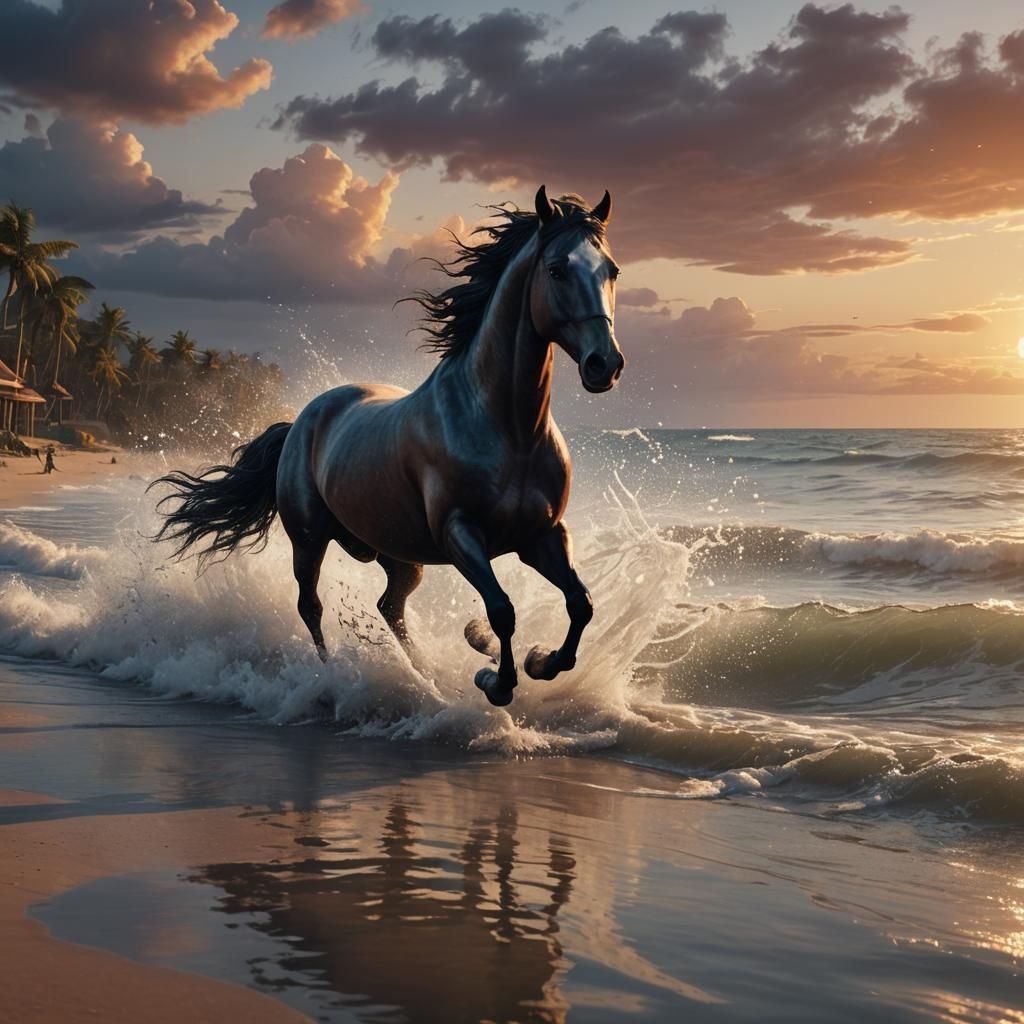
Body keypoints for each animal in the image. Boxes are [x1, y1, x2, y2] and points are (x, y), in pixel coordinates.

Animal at [152, 186, 625, 707]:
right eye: (558, 269)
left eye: (612, 271)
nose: (605, 364)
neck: (510, 432)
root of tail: (301, 421)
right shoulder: (461, 535)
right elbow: (502, 610)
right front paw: (495, 681)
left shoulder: (542, 536)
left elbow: (581, 604)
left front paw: (540, 661)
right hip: (309, 539)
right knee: (311, 606)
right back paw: (333, 676)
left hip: (398, 554)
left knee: (390, 606)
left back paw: (430, 679)